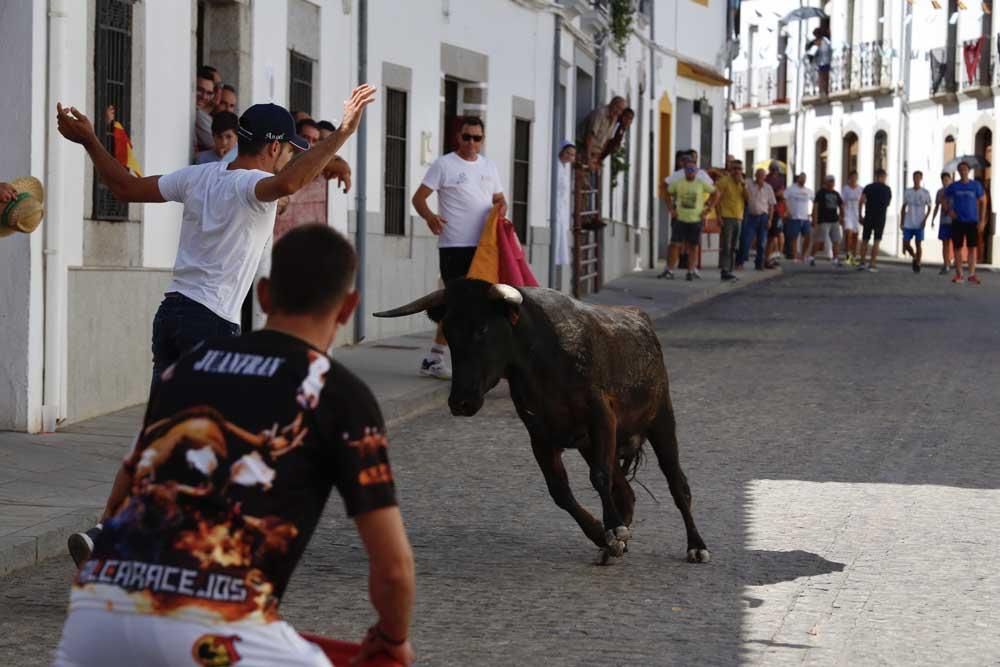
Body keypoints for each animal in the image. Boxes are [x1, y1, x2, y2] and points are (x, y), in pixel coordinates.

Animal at [376, 280, 712, 568]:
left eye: (483, 328)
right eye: (449, 331)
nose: (461, 401)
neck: (541, 359)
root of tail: (640, 321)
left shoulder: (602, 418)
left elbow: (599, 477)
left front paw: (613, 530)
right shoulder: (540, 436)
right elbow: (560, 492)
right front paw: (604, 536)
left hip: (661, 421)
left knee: (677, 484)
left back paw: (696, 545)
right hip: (592, 444)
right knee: (626, 490)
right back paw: (614, 547)